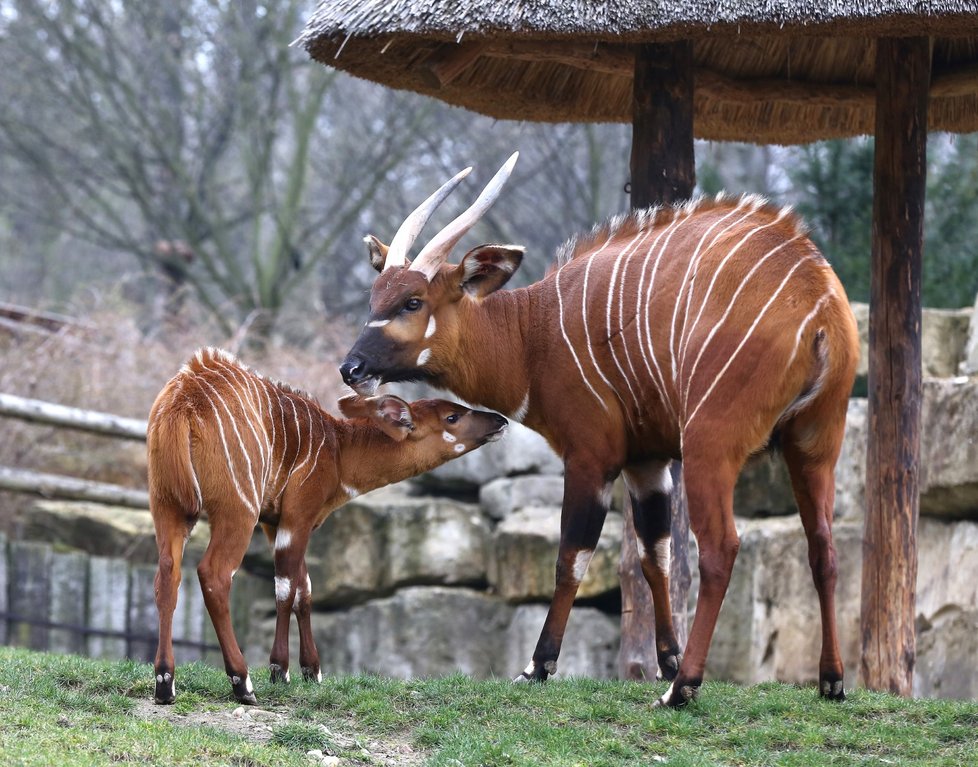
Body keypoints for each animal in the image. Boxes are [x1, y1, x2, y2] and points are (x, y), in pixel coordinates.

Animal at [149, 346, 508, 704]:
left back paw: (165, 682)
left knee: (168, 573)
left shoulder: (276, 523)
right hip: (237, 510)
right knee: (214, 574)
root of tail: (184, 402)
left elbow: (304, 590)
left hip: (168, 506)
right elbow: (286, 588)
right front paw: (280, 670)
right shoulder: (297, 516)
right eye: (453, 417)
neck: (337, 449)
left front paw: (312, 671)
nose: (500, 421)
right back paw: (242, 683)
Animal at [340, 154, 856, 708]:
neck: (531, 333)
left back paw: (683, 689)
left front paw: (538, 666)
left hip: (710, 447)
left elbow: (572, 556)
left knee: (721, 549)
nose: (351, 368)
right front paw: (665, 659)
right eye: (375, 297)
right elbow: (655, 556)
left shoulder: (592, 456)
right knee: (823, 548)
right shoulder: (646, 462)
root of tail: (820, 303)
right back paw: (830, 681)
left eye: (412, 301)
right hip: (815, 446)